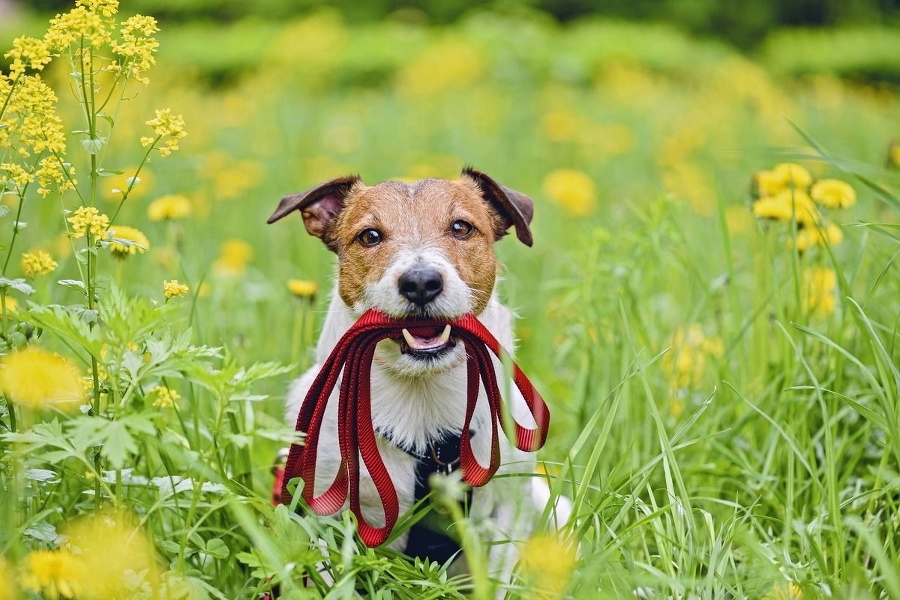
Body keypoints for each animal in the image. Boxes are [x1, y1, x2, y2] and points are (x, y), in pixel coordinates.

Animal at [266, 168, 568, 584]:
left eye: (461, 227)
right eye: (370, 236)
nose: (421, 282)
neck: (421, 397)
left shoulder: (508, 508)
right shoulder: (321, 509)